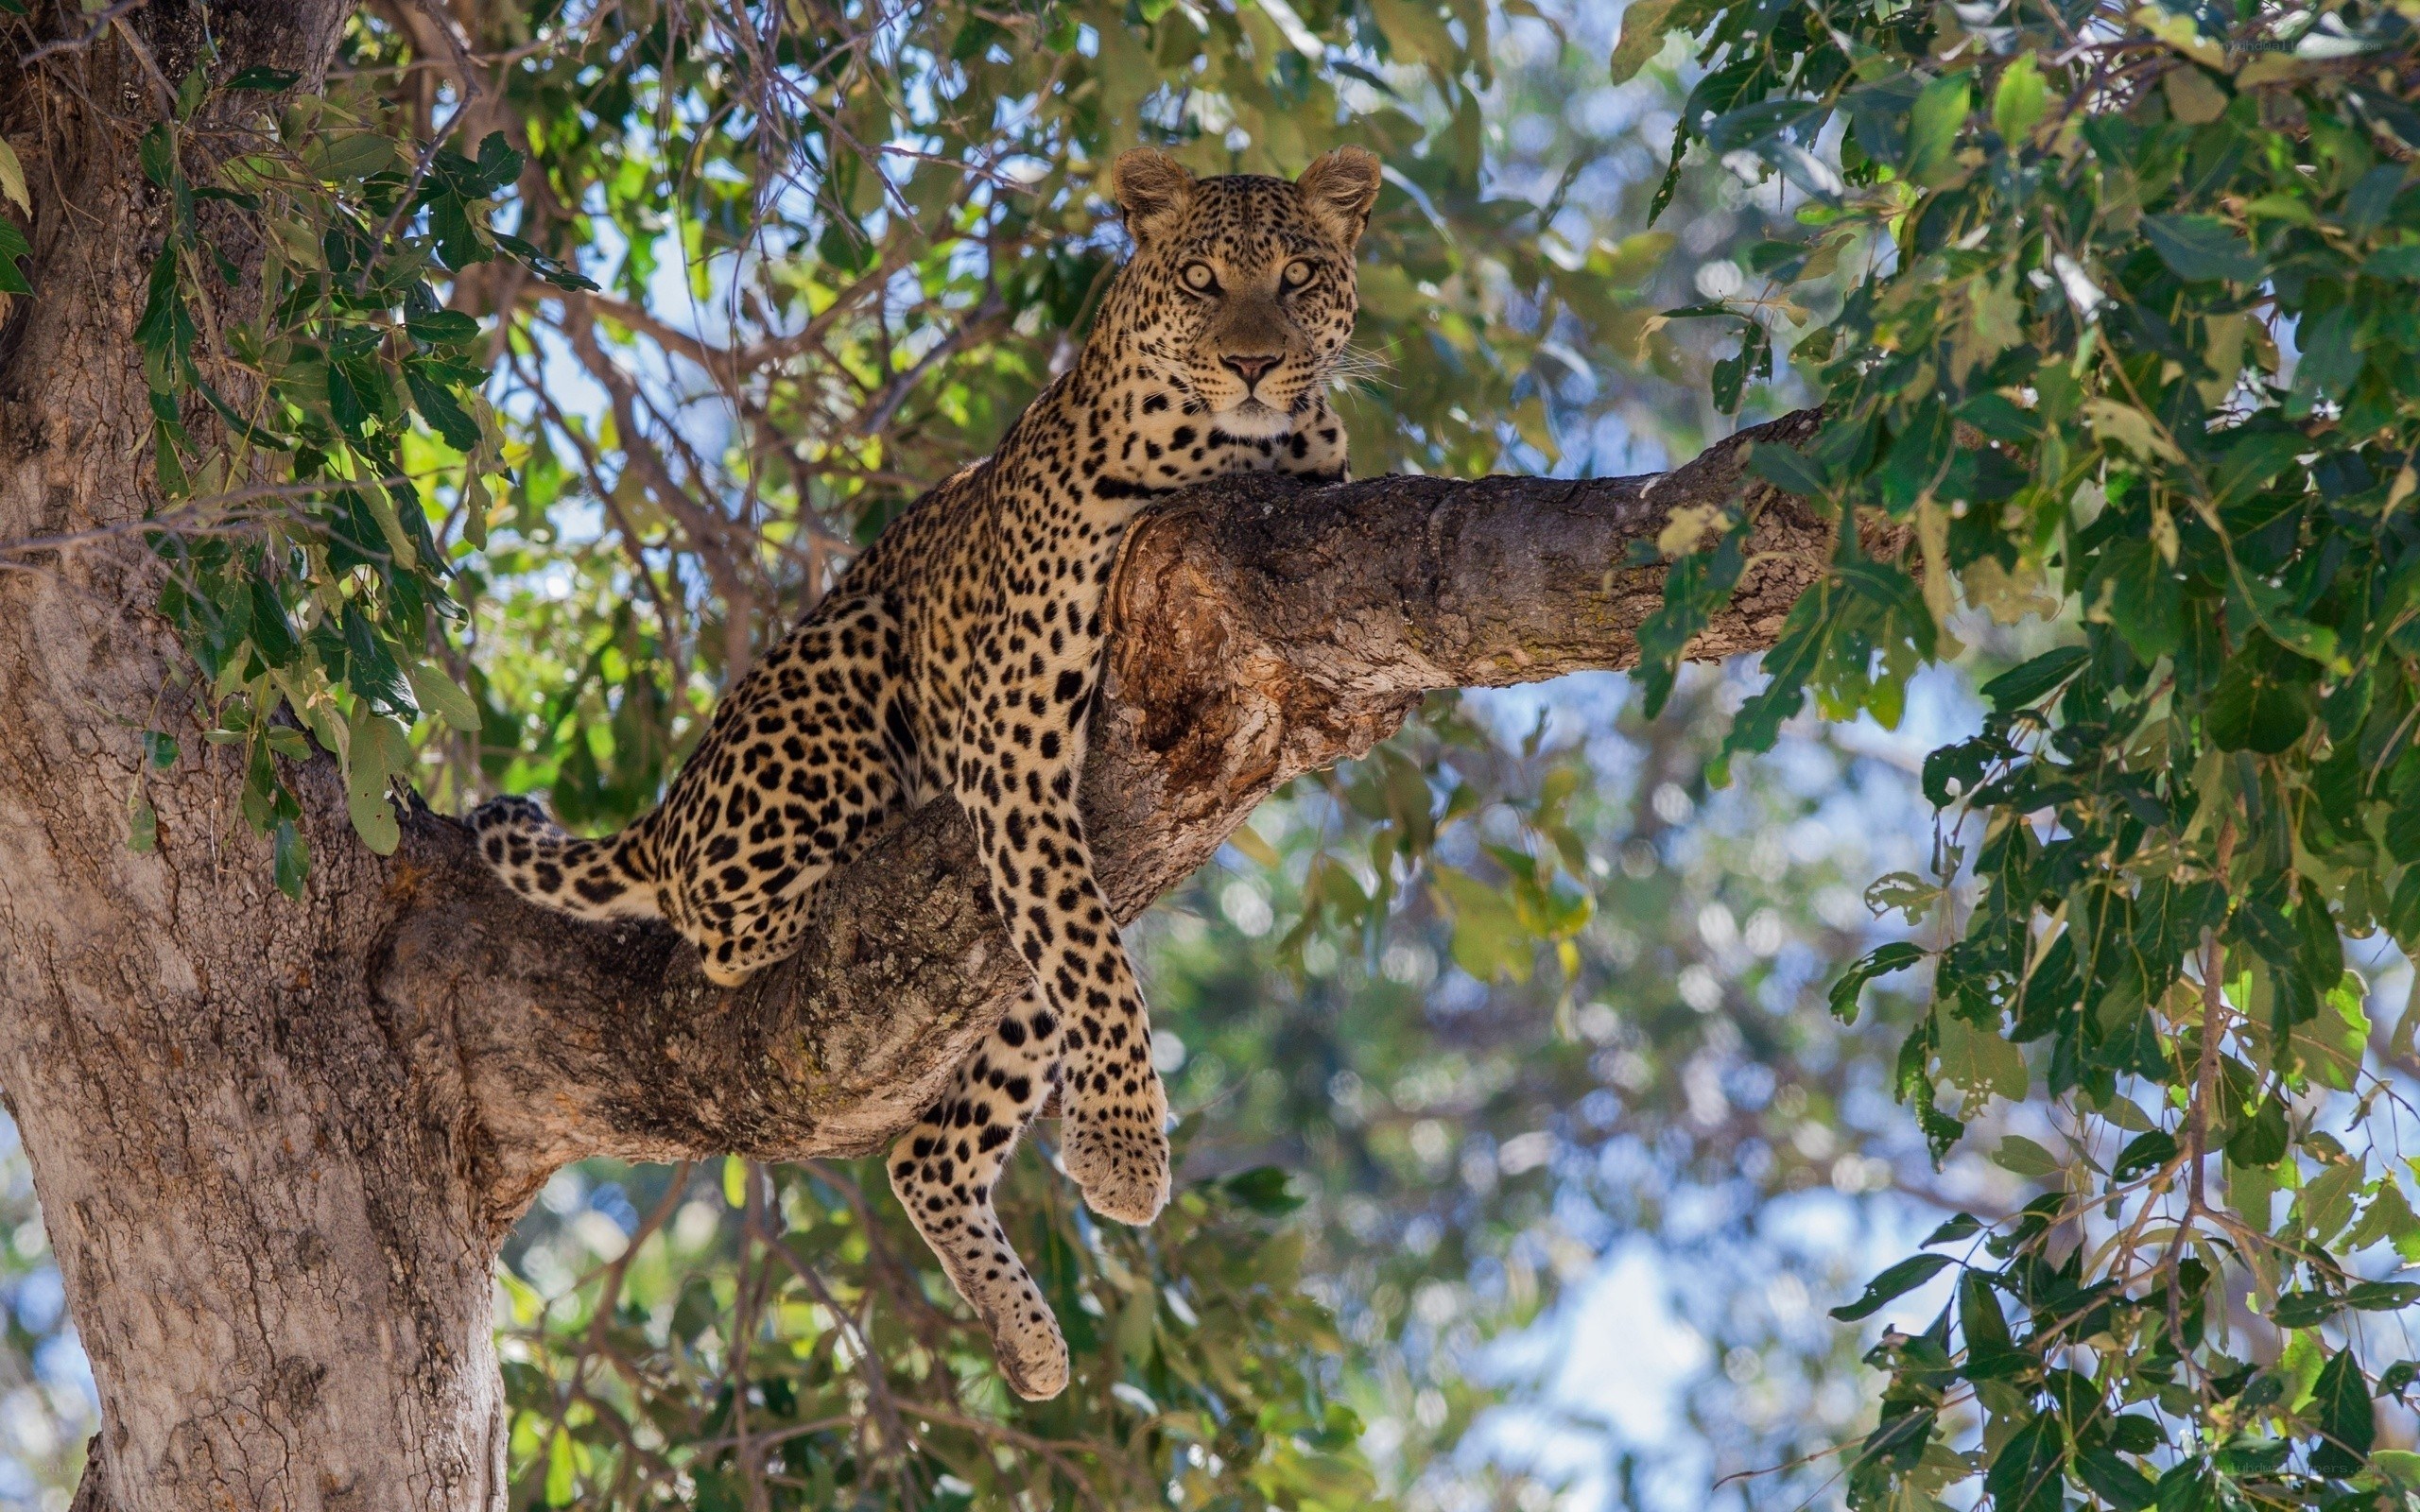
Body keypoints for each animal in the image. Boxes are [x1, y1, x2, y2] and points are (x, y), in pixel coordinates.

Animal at [469, 144, 1382, 1400]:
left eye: (1297, 277)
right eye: (1201, 279)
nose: (1252, 362)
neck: (1239, 450)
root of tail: (669, 804)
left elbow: (1091, 960)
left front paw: (1109, 1150)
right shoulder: (1011, 741)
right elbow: (1100, 968)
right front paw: (1123, 1150)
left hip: (1006, 971)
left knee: (930, 1149)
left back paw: (1025, 1338)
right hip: (844, 678)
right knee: (726, 928)